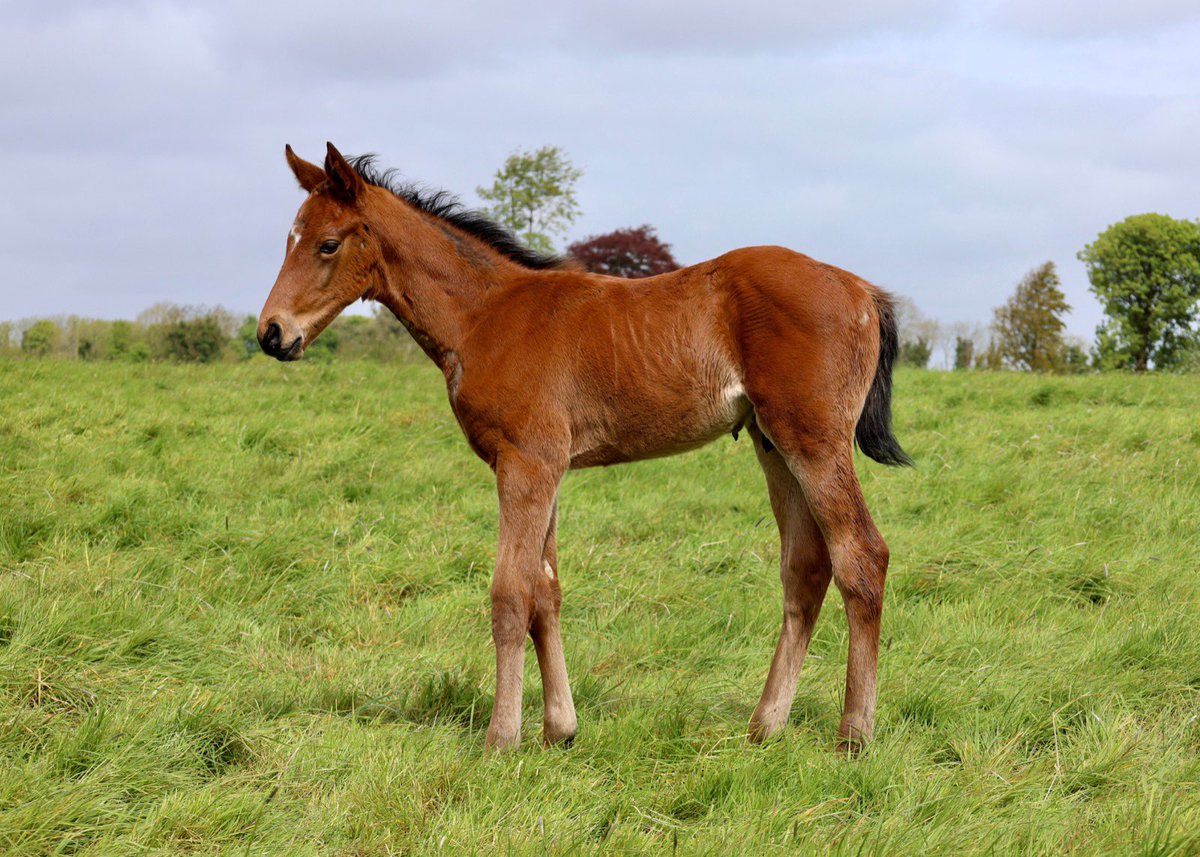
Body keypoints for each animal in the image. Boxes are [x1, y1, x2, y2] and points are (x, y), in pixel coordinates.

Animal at [257, 143, 912, 752]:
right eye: (289, 238)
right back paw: (765, 726)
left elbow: (511, 593)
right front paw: (559, 729)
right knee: (805, 567)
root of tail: (862, 290)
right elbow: (546, 590)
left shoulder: (526, 463)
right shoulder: (546, 468)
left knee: (861, 557)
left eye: (327, 244)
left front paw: (501, 738)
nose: (271, 333)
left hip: (814, 441)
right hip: (772, 444)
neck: (485, 316)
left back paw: (854, 735)